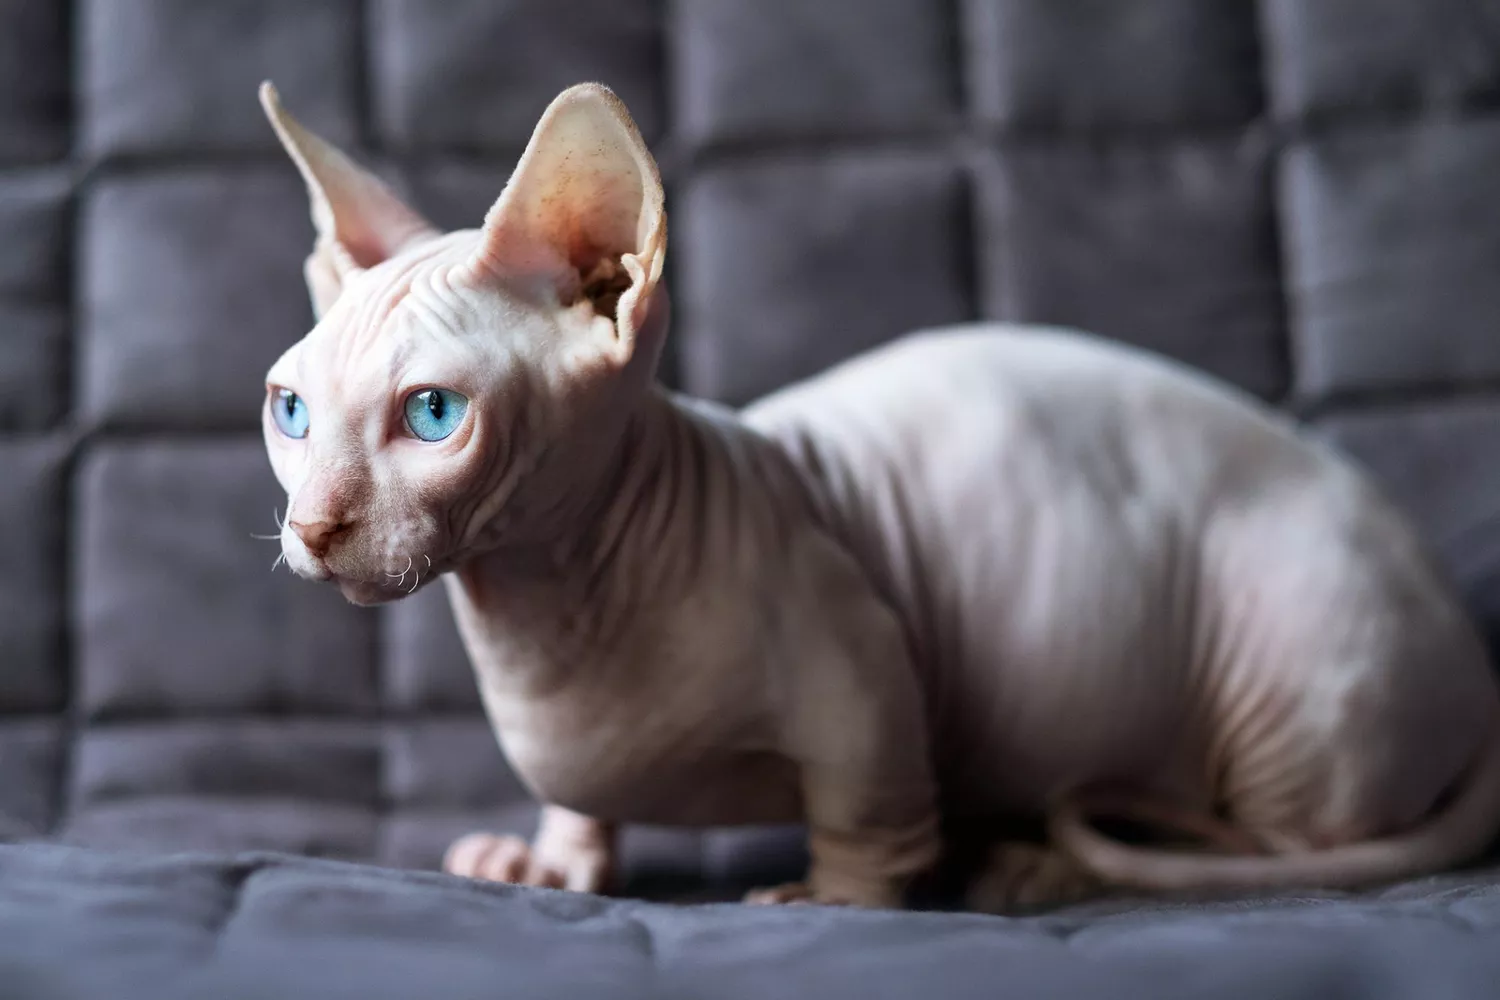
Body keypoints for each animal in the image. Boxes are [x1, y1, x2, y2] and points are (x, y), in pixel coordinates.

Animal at [252, 78, 1500, 911]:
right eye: (290, 411)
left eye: (433, 415)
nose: (312, 525)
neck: (543, 611)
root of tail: (1469, 648)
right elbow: (582, 799)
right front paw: (549, 860)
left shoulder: (857, 653)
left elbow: (870, 808)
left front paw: (836, 899)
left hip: (1294, 658)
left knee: (1272, 852)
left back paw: (1036, 865)